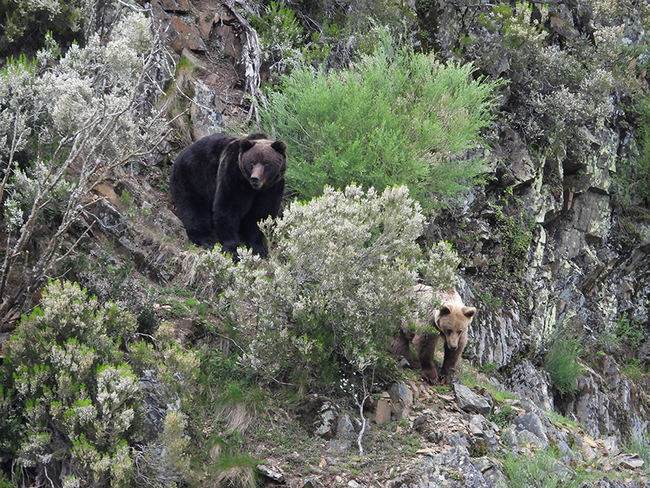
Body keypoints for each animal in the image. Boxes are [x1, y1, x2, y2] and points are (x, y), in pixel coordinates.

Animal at [170, 130, 286, 260]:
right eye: (252, 163)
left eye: (266, 163)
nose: (255, 178)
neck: (253, 188)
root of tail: (182, 152)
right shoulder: (233, 175)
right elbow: (228, 209)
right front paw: (232, 250)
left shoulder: (272, 188)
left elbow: (260, 215)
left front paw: (259, 249)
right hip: (193, 178)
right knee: (194, 209)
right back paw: (205, 240)